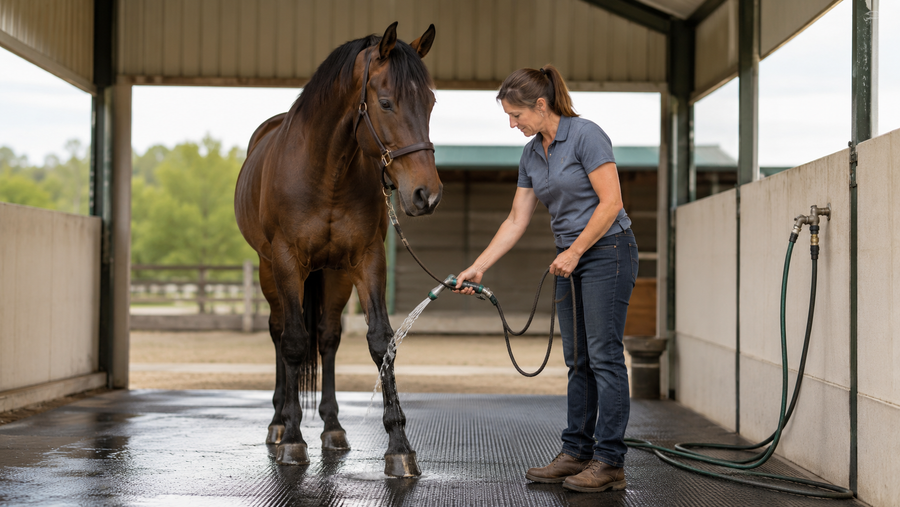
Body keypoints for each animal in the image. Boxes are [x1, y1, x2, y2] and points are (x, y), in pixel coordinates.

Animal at [234, 22, 440, 478]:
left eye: (431, 102)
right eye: (386, 102)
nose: (427, 195)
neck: (326, 170)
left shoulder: (365, 259)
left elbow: (381, 342)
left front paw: (399, 446)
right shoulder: (286, 260)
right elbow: (294, 342)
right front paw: (293, 439)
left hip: (333, 274)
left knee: (327, 337)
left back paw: (332, 426)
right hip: (268, 270)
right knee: (279, 332)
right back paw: (279, 422)